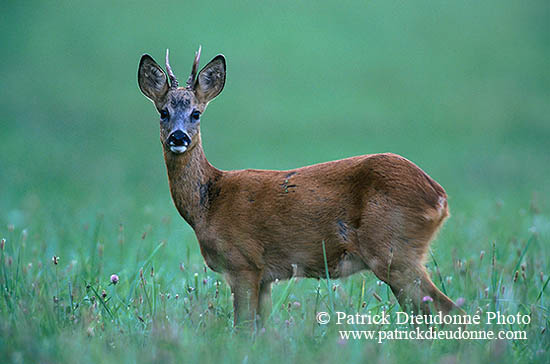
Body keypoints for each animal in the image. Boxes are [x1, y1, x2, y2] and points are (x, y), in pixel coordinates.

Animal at [137, 47, 462, 328]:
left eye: (196, 113)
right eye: (163, 112)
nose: (178, 137)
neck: (209, 202)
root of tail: (439, 197)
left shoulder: (243, 262)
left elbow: (242, 326)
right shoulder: (265, 276)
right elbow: (260, 328)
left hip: (393, 250)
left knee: (447, 309)